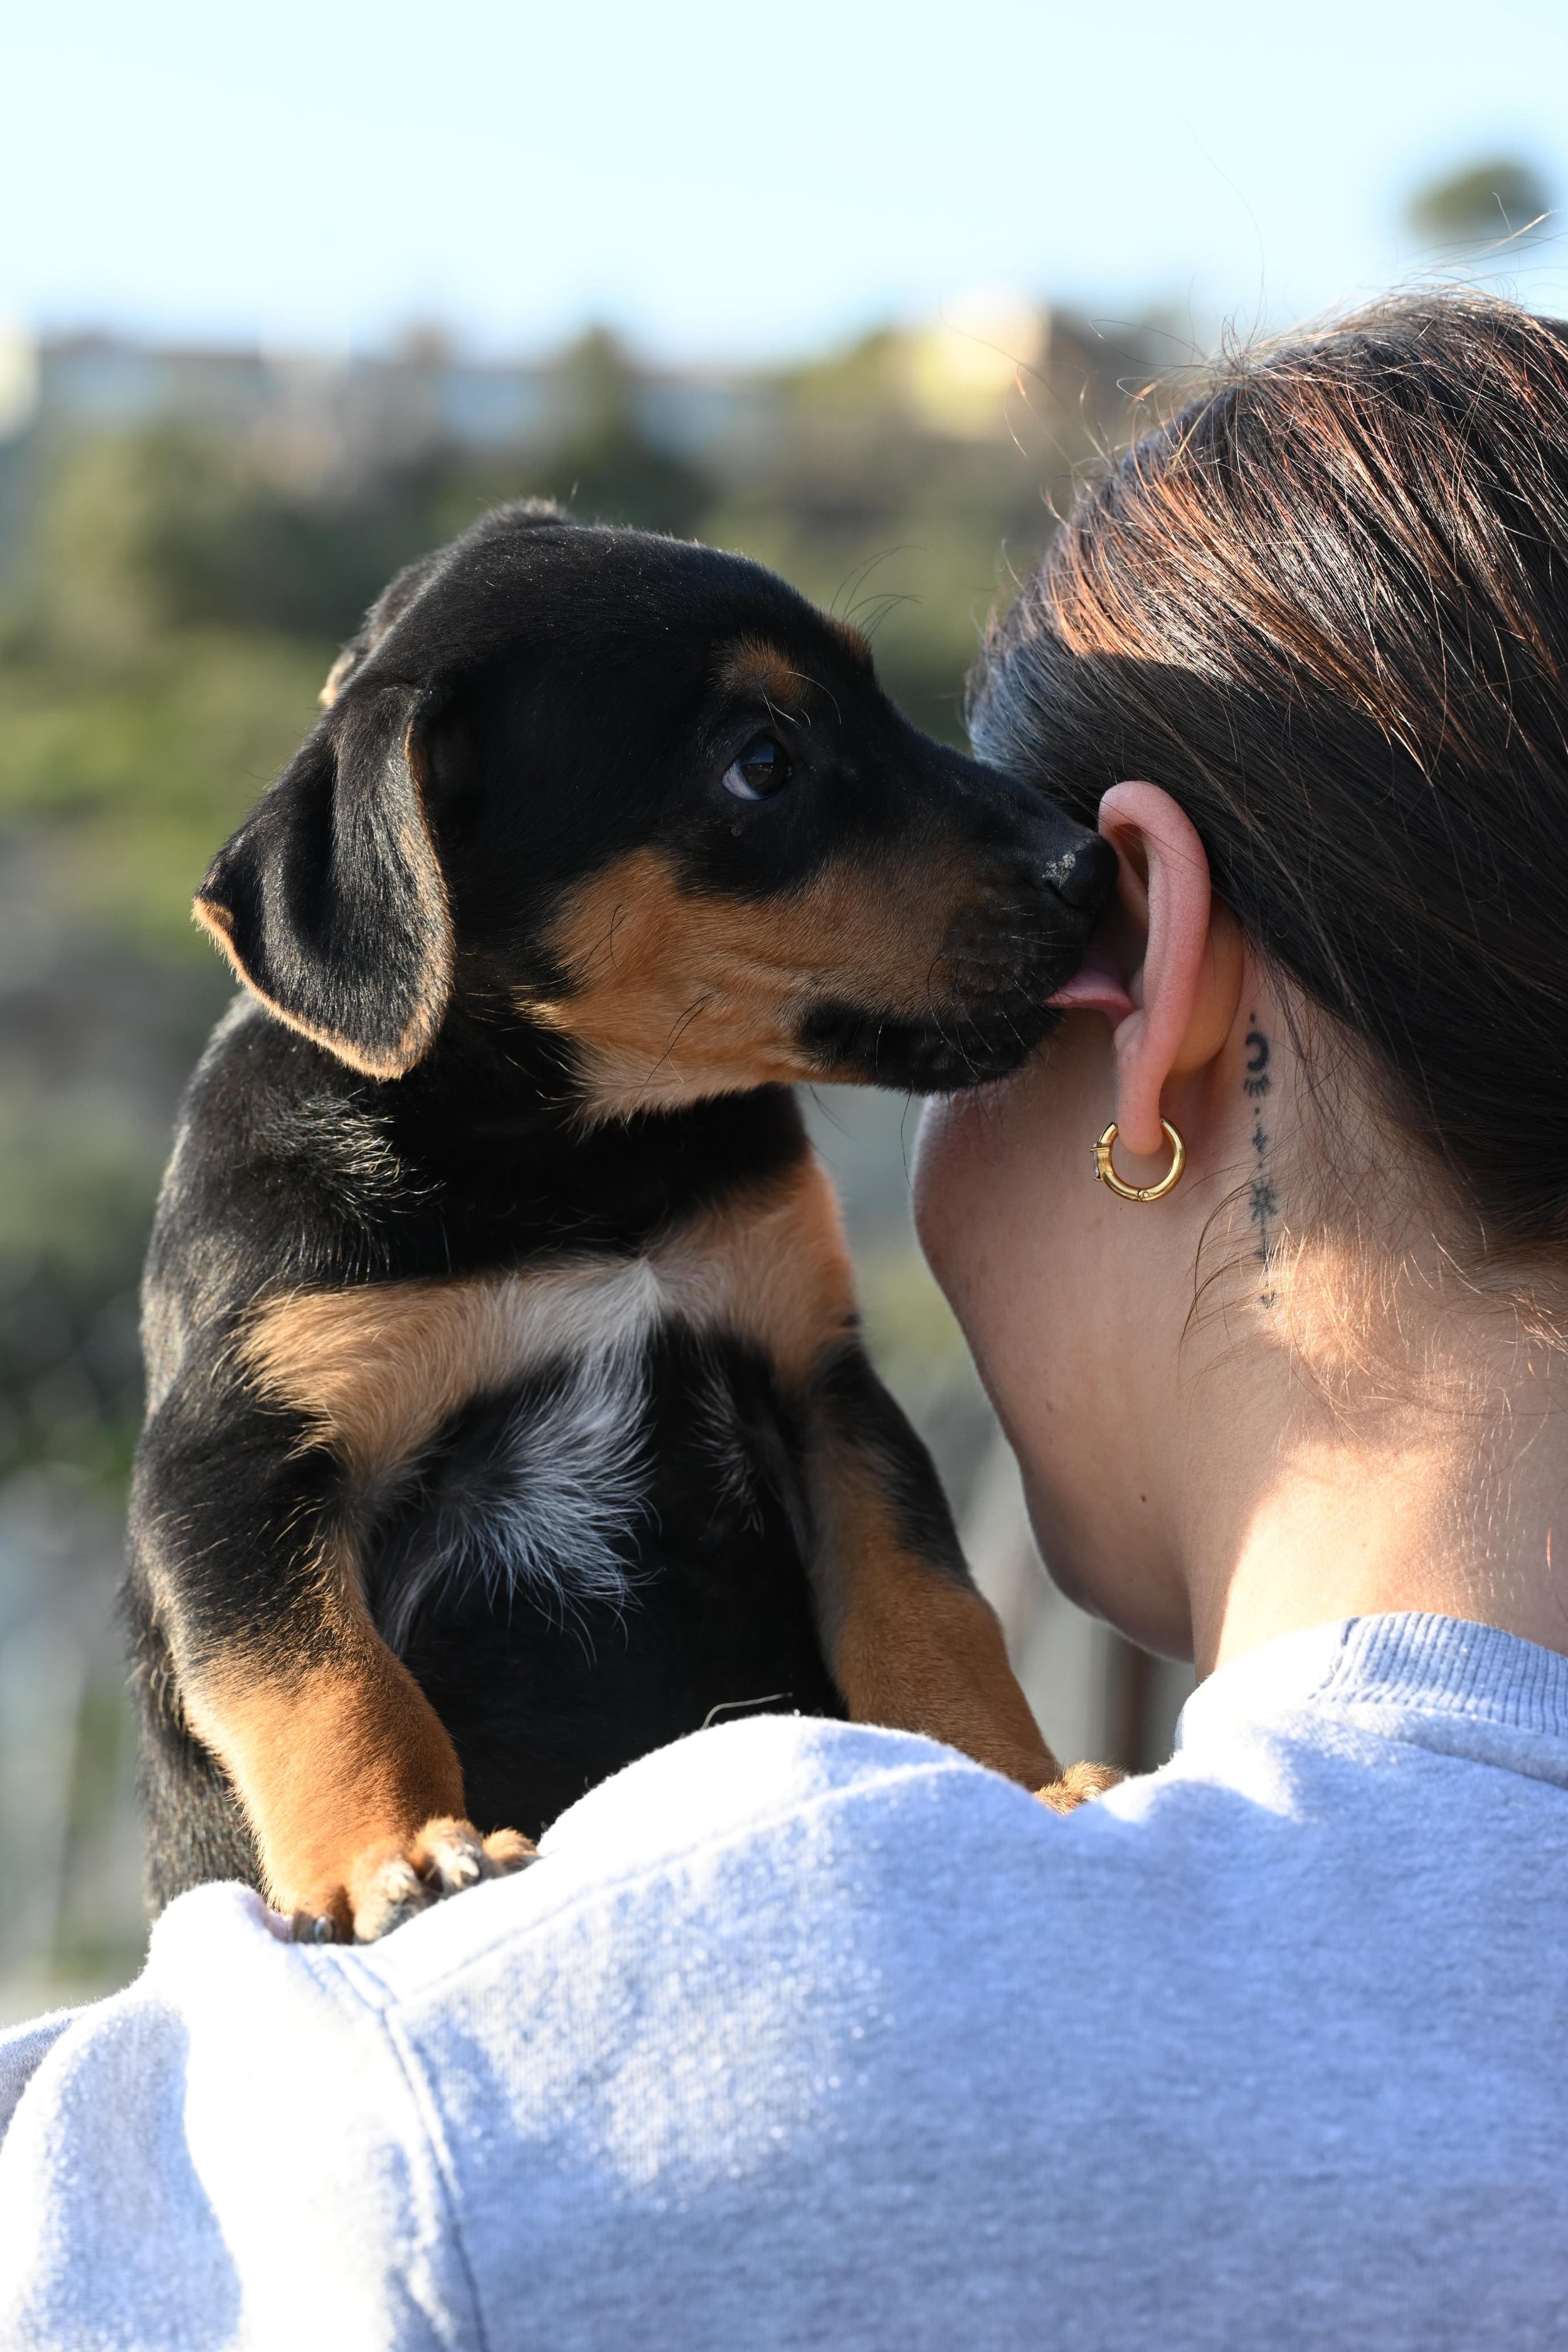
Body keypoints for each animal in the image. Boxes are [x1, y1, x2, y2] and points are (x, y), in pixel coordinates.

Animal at [125, 501, 1117, 1944]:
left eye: (877, 701)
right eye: (761, 763)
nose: (1093, 865)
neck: (578, 1162)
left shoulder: (817, 1382)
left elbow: (925, 1606)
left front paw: (1017, 1780)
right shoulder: (236, 1457)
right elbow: (323, 1676)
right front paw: (390, 1856)